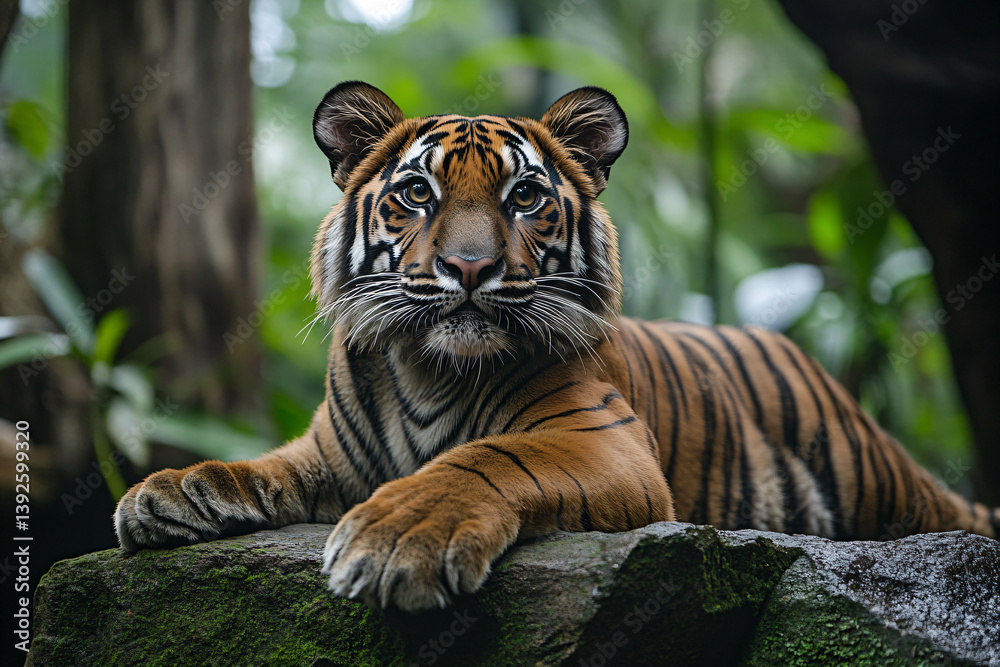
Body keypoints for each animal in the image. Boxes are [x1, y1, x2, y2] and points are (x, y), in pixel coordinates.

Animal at [114, 80, 1000, 613]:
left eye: (525, 195)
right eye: (416, 193)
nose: (470, 266)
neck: (428, 369)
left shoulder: (601, 440)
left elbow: (483, 459)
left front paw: (396, 537)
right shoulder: (328, 453)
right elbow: (260, 465)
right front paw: (170, 490)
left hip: (873, 477)